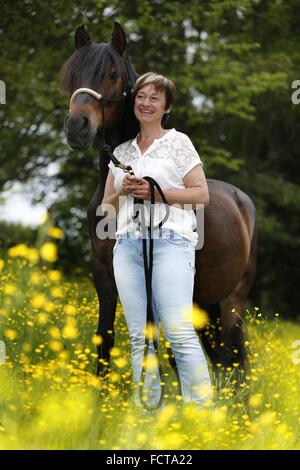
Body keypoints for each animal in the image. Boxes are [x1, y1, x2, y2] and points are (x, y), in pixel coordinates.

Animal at [61, 22, 258, 390]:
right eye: (73, 74)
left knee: (227, 356)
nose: (77, 127)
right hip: (206, 302)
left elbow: (170, 354)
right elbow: (105, 339)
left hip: (231, 299)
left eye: (112, 74)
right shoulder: (104, 274)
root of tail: (242, 203)